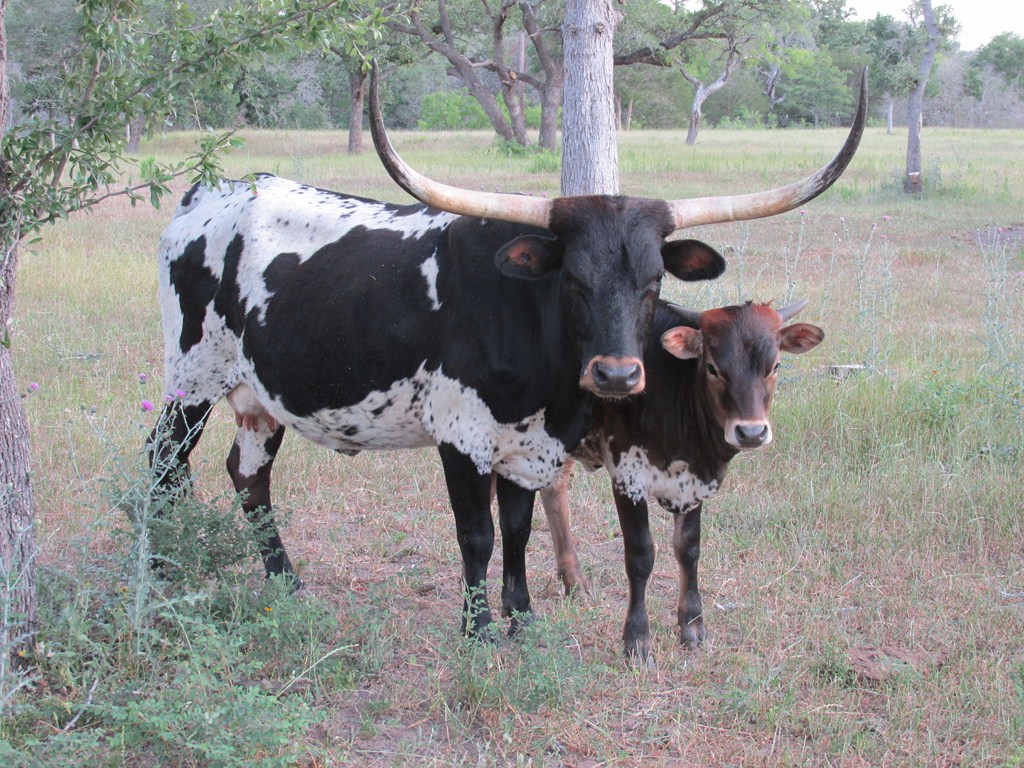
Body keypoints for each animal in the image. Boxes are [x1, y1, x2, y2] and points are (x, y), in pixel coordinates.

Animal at [538, 300, 824, 662]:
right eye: (713, 367)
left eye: (775, 365)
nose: (751, 432)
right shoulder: (627, 476)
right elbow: (641, 555)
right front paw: (637, 639)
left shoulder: (693, 482)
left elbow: (688, 549)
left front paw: (692, 625)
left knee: (554, 489)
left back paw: (575, 583)